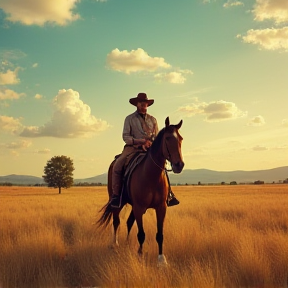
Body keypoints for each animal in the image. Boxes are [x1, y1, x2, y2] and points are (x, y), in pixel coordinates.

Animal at [97, 116, 184, 266]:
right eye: (167, 138)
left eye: (181, 139)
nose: (179, 165)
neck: (151, 175)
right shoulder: (139, 207)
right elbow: (141, 234)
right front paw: (140, 255)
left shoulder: (161, 208)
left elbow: (159, 234)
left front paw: (161, 260)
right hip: (118, 203)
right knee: (116, 221)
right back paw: (115, 244)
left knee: (128, 222)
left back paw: (126, 244)